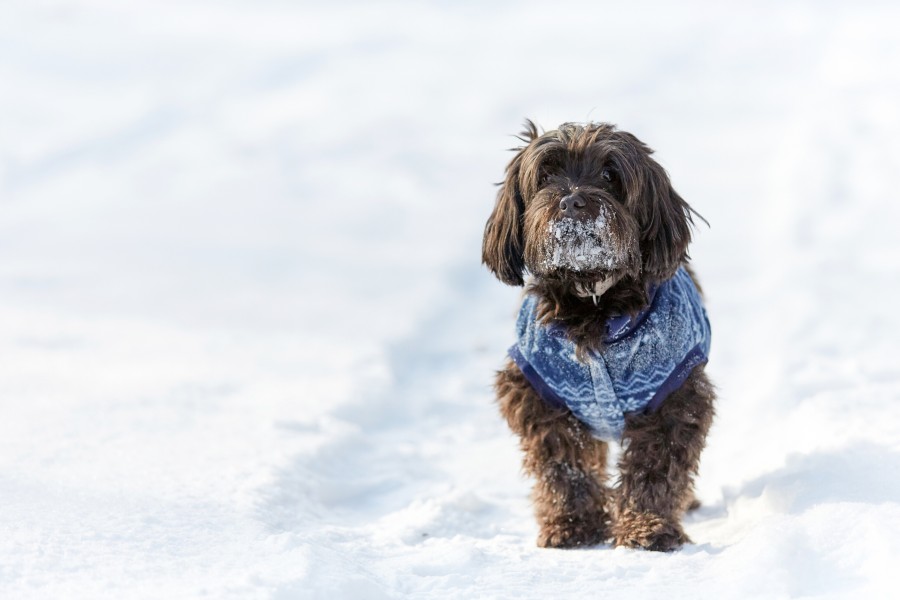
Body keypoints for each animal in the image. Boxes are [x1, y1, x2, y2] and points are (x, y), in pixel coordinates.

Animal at [482, 119, 712, 552]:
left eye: (609, 175)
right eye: (547, 174)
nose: (573, 201)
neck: (592, 303)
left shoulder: (675, 396)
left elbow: (654, 469)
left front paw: (646, 527)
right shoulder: (539, 395)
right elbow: (563, 466)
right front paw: (573, 524)